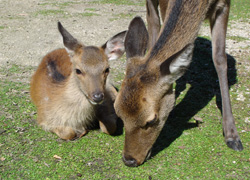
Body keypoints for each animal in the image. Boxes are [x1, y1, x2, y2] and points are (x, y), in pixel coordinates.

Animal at [114, 0, 243, 167]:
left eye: (151, 120)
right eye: (118, 113)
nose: (129, 160)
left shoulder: (224, 4)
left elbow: (219, 58)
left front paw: (232, 136)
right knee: (154, 26)